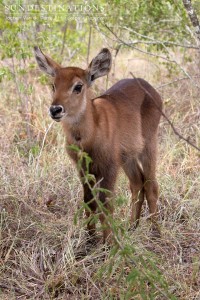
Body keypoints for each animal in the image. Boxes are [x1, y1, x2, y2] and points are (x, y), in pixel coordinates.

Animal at [34, 47, 162, 244]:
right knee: (137, 183)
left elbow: (106, 203)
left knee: (151, 185)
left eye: (78, 86)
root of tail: (147, 85)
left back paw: (156, 232)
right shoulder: (83, 168)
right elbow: (89, 200)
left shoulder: (109, 167)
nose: (55, 109)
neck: (87, 136)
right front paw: (90, 237)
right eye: (53, 85)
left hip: (148, 146)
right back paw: (132, 226)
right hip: (128, 157)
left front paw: (108, 242)